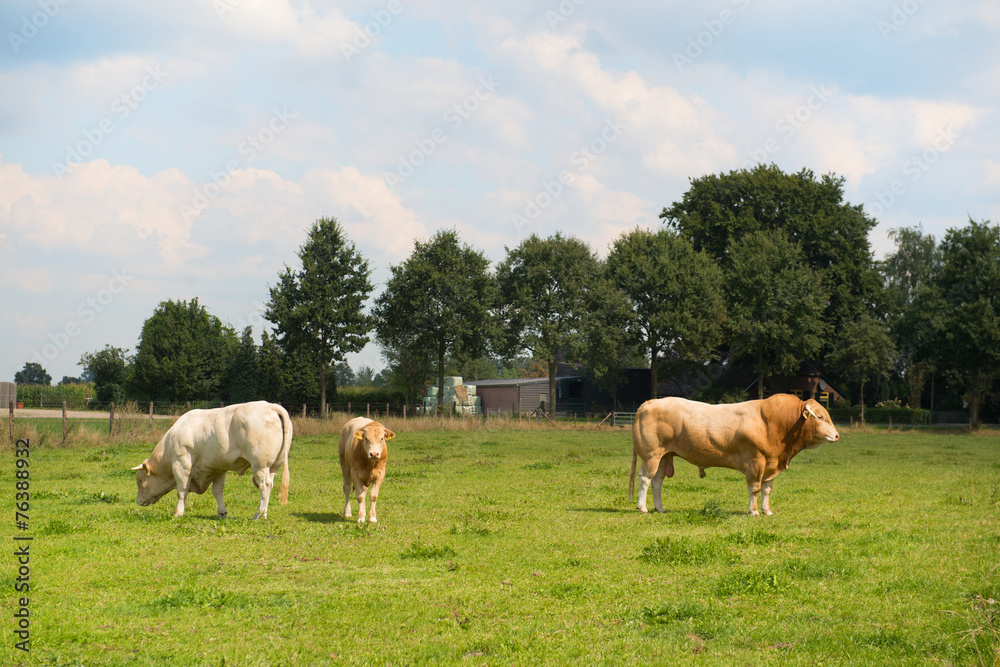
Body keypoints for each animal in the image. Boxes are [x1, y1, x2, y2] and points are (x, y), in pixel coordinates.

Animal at [131, 401, 292, 520]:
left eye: (140, 481)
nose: (138, 501)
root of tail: (270, 405)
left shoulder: (181, 464)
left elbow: (182, 491)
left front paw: (178, 513)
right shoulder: (218, 468)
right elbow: (218, 492)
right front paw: (222, 512)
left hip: (260, 465)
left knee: (264, 486)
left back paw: (260, 516)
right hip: (272, 467)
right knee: (268, 486)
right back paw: (258, 514)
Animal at [629, 394, 839, 516]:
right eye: (820, 417)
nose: (837, 435)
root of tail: (650, 402)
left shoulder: (771, 464)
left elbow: (767, 490)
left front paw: (767, 510)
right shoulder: (755, 462)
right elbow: (755, 489)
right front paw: (754, 511)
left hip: (664, 455)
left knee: (657, 481)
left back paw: (660, 508)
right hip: (651, 455)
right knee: (645, 479)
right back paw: (643, 507)